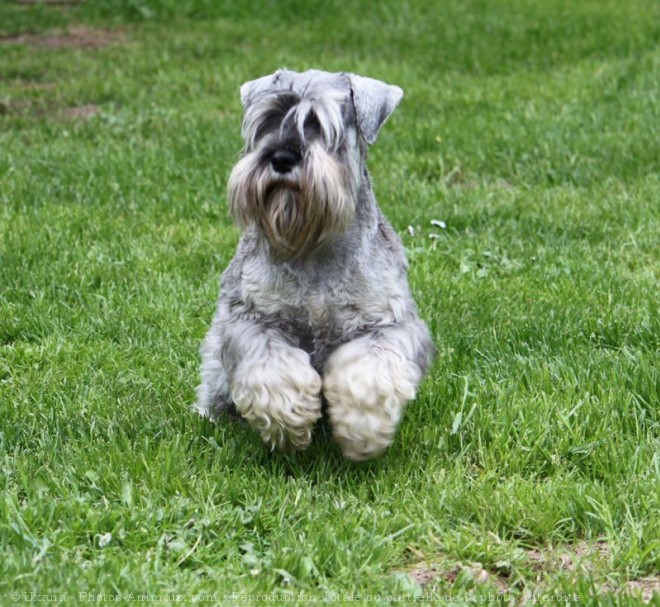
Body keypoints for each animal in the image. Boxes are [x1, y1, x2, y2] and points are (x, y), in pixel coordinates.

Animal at [195, 69, 434, 460]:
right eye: (269, 119)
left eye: (320, 124)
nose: (280, 157)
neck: (313, 247)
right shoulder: (251, 317)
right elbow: (273, 368)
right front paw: (289, 422)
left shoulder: (388, 323)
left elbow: (369, 373)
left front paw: (362, 430)